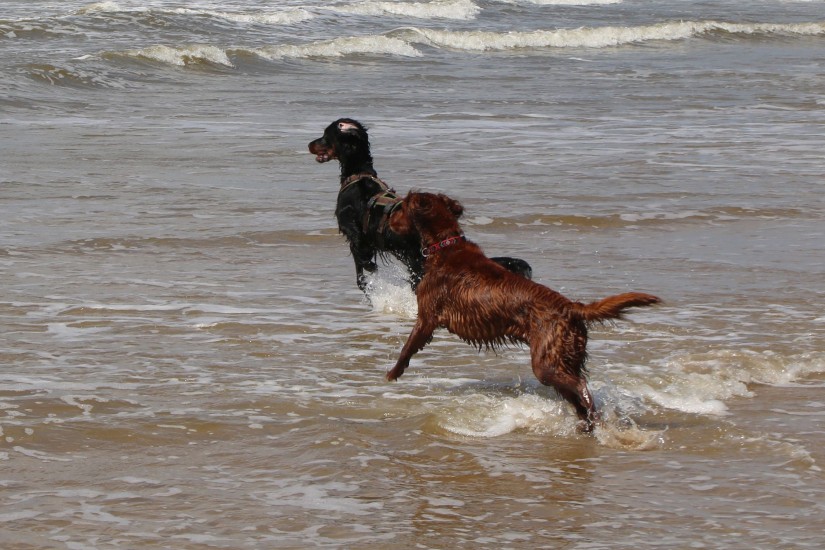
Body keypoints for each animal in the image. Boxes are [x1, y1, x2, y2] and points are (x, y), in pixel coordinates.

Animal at [386, 191, 661, 433]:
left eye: (402, 206)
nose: (388, 219)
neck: (445, 246)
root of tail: (571, 307)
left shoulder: (427, 317)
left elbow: (407, 347)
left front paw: (392, 374)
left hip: (546, 363)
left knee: (582, 387)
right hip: (565, 358)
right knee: (578, 397)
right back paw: (586, 425)